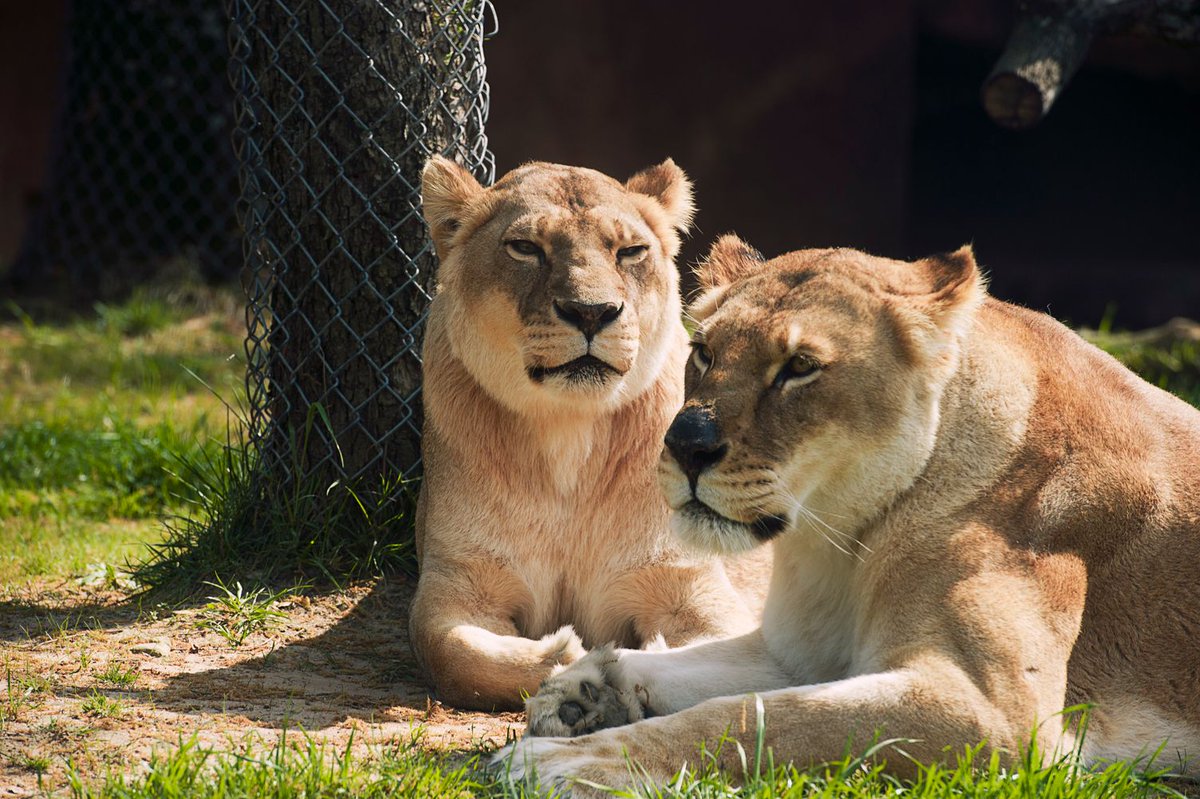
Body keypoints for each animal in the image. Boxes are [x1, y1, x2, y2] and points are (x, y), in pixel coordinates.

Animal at [408, 160, 771, 711]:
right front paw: (566, 656)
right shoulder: (458, 579)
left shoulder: (691, 586)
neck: (569, 435)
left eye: (630, 251)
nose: (592, 312)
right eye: (525, 248)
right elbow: (452, 654)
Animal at [503, 236, 1200, 794]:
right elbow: (698, 664)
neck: (838, 541)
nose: (685, 444)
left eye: (800, 367)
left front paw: (569, 761)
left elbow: (761, 717)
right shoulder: (793, 654)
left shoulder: (998, 719)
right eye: (703, 351)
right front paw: (582, 690)